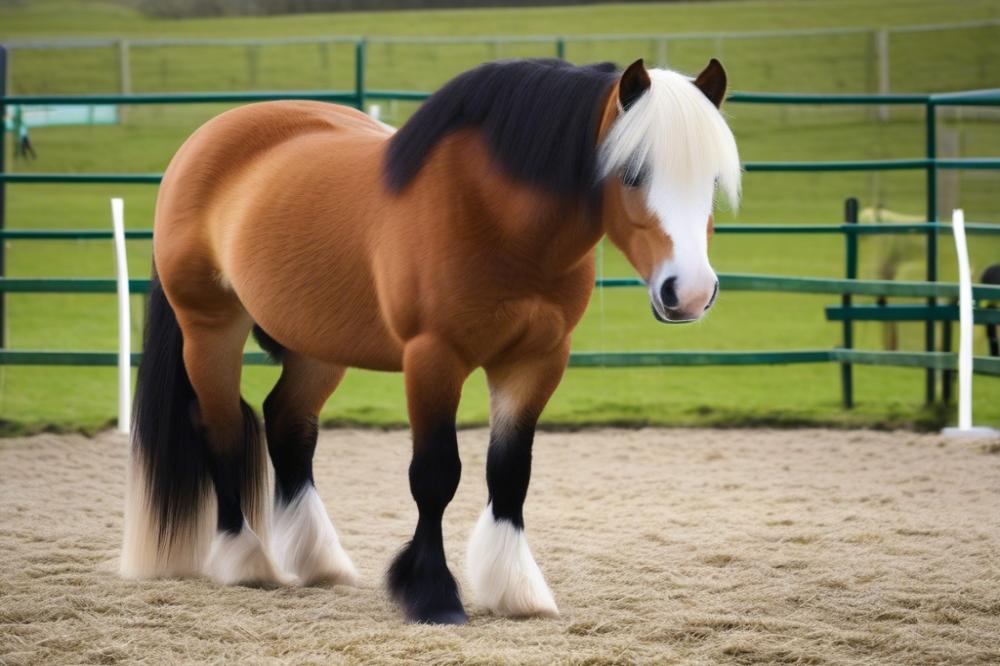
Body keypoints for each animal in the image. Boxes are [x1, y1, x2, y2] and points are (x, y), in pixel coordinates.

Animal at [121, 57, 740, 624]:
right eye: (632, 173)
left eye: (711, 180)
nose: (690, 291)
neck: (494, 214)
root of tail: (208, 138)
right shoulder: (433, 358)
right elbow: (436, 475)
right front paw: (432, 594)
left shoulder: (535, 360)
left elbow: (510, 472)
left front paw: (515, 589)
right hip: (210, 328)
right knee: (222, 429)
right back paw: (244, 559)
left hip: (316, 348)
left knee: (287, 425)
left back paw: (319, 560)